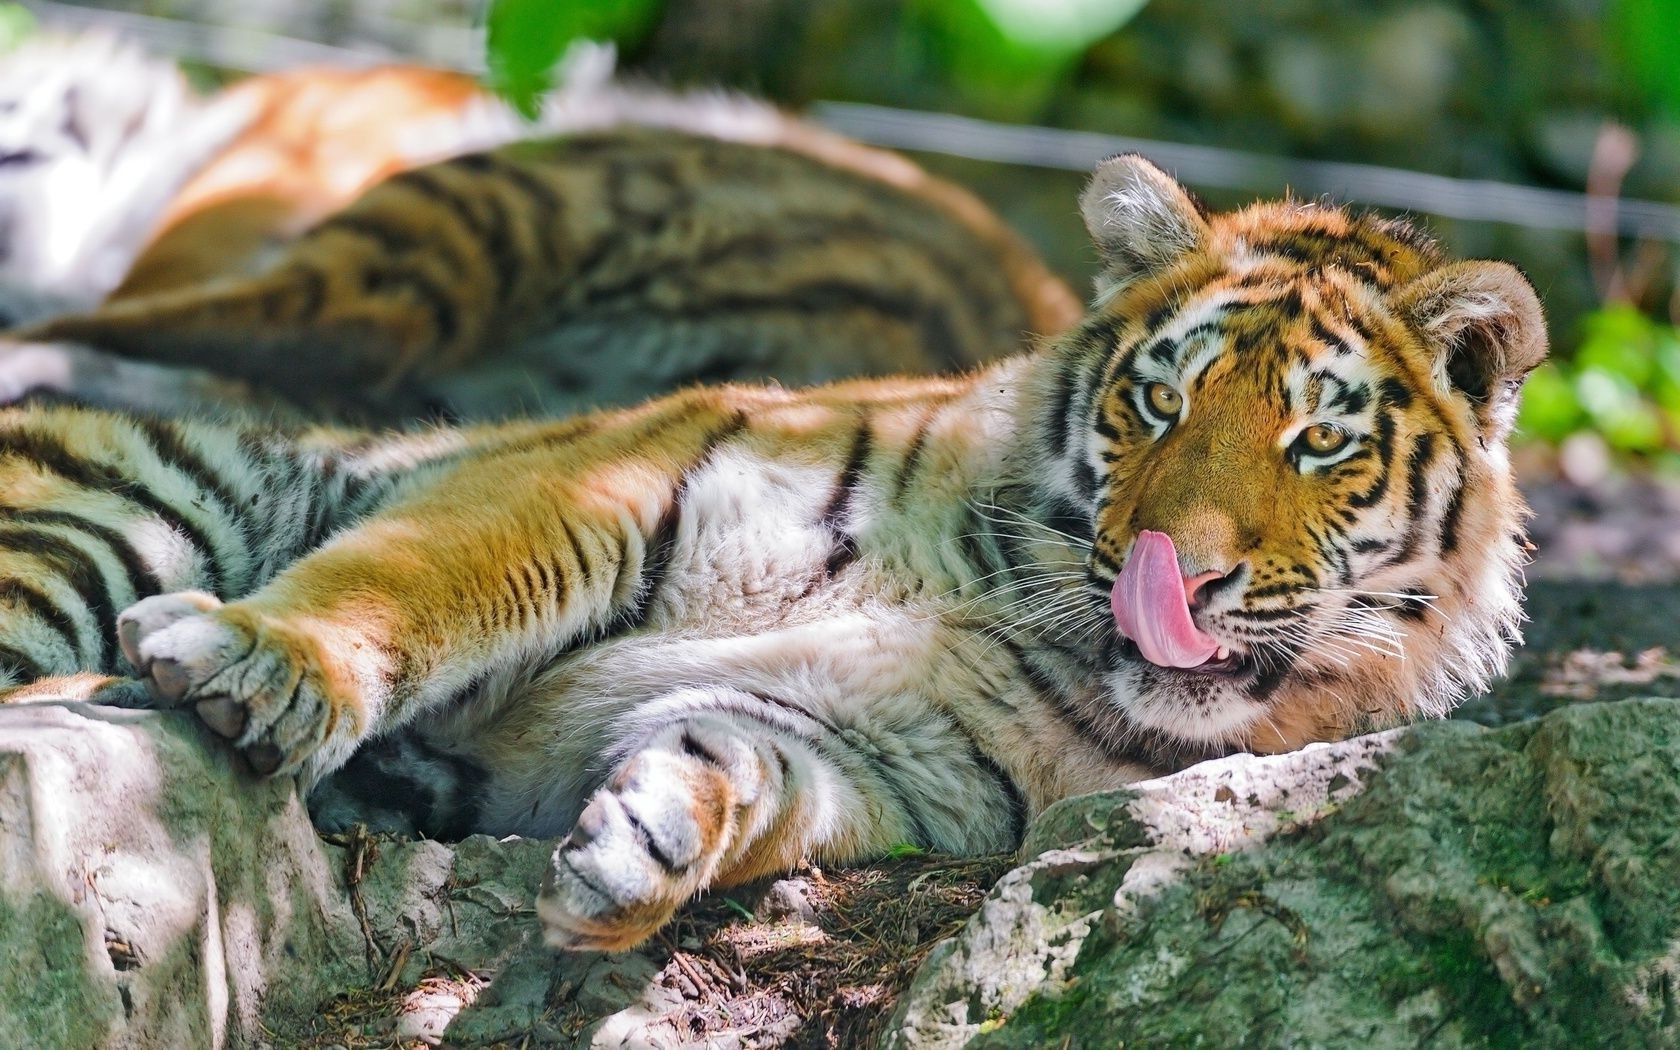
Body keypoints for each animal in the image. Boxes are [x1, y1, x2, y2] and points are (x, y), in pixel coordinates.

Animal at [0, 155, 1538, 947]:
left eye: (1315, 440)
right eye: (1158, 402)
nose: (1181, 571)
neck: (1006, 603)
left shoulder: (895, 758)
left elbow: (749, 768)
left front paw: (647, 844)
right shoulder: (606, 484)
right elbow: (413, 580)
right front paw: (263, 655)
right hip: (136, 500)